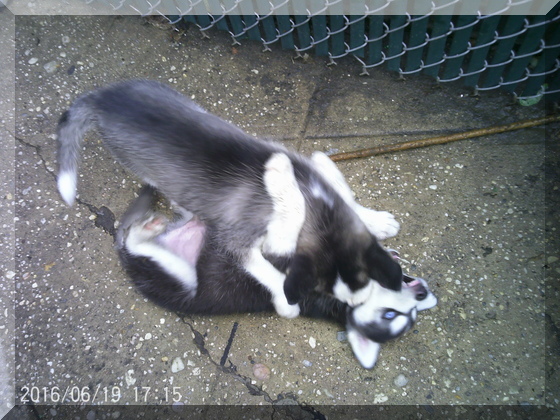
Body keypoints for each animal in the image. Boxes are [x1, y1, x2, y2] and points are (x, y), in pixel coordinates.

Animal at [58, 80, 402, 320]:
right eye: (327, 291)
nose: (360, 303)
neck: (313, 199)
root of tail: (104, 98)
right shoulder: (242, 243)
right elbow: (270, 269)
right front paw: (285, 302)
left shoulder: (315, 164)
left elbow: (344, 191)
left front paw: (376, 221)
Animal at [115, 185, 438, 370]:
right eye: (389, 315)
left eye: (407, 317)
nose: (423, 294)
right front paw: (379, 228)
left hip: (179, 276)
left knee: (136, 241)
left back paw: (146, 227)